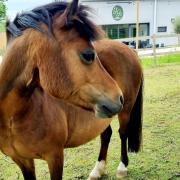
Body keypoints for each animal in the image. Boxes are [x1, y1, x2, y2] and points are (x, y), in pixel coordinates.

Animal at [0, 0, 143, 179]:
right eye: (88, 55)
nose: (119, 97)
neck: (12, 117)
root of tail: (129, 49)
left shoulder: (55, 156)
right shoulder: (22, 160)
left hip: (125, 111)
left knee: (122, 133)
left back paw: (122, 167)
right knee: (106, 135)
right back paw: (98, 170)